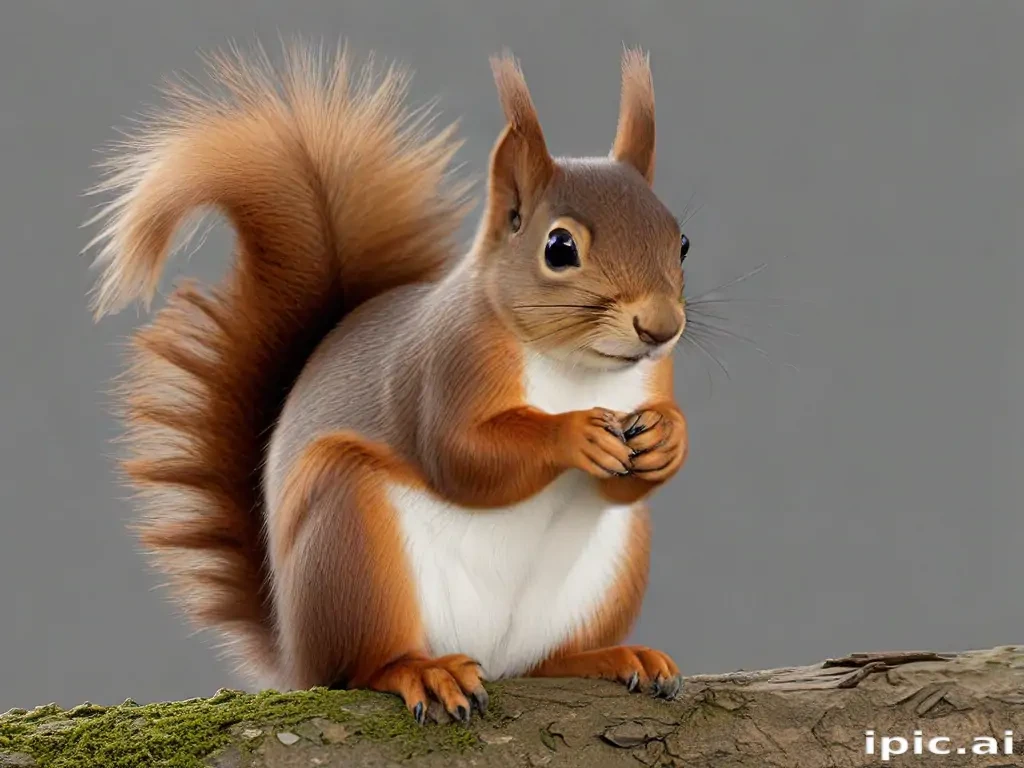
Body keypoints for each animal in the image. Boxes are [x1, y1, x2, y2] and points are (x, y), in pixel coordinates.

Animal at [86, 42, 692, 724]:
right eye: (559, 247)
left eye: (682, 242)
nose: (661, 327)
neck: (577, 367)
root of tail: (295, 654)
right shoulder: (445, 364)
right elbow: (462, 457)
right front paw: (575, 434)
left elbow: (628, 478)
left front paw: (669, 437)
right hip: (350, 541)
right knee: (362, 666)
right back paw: (423, 670)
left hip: (606, 573)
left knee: (543, 660)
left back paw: (606, 657)